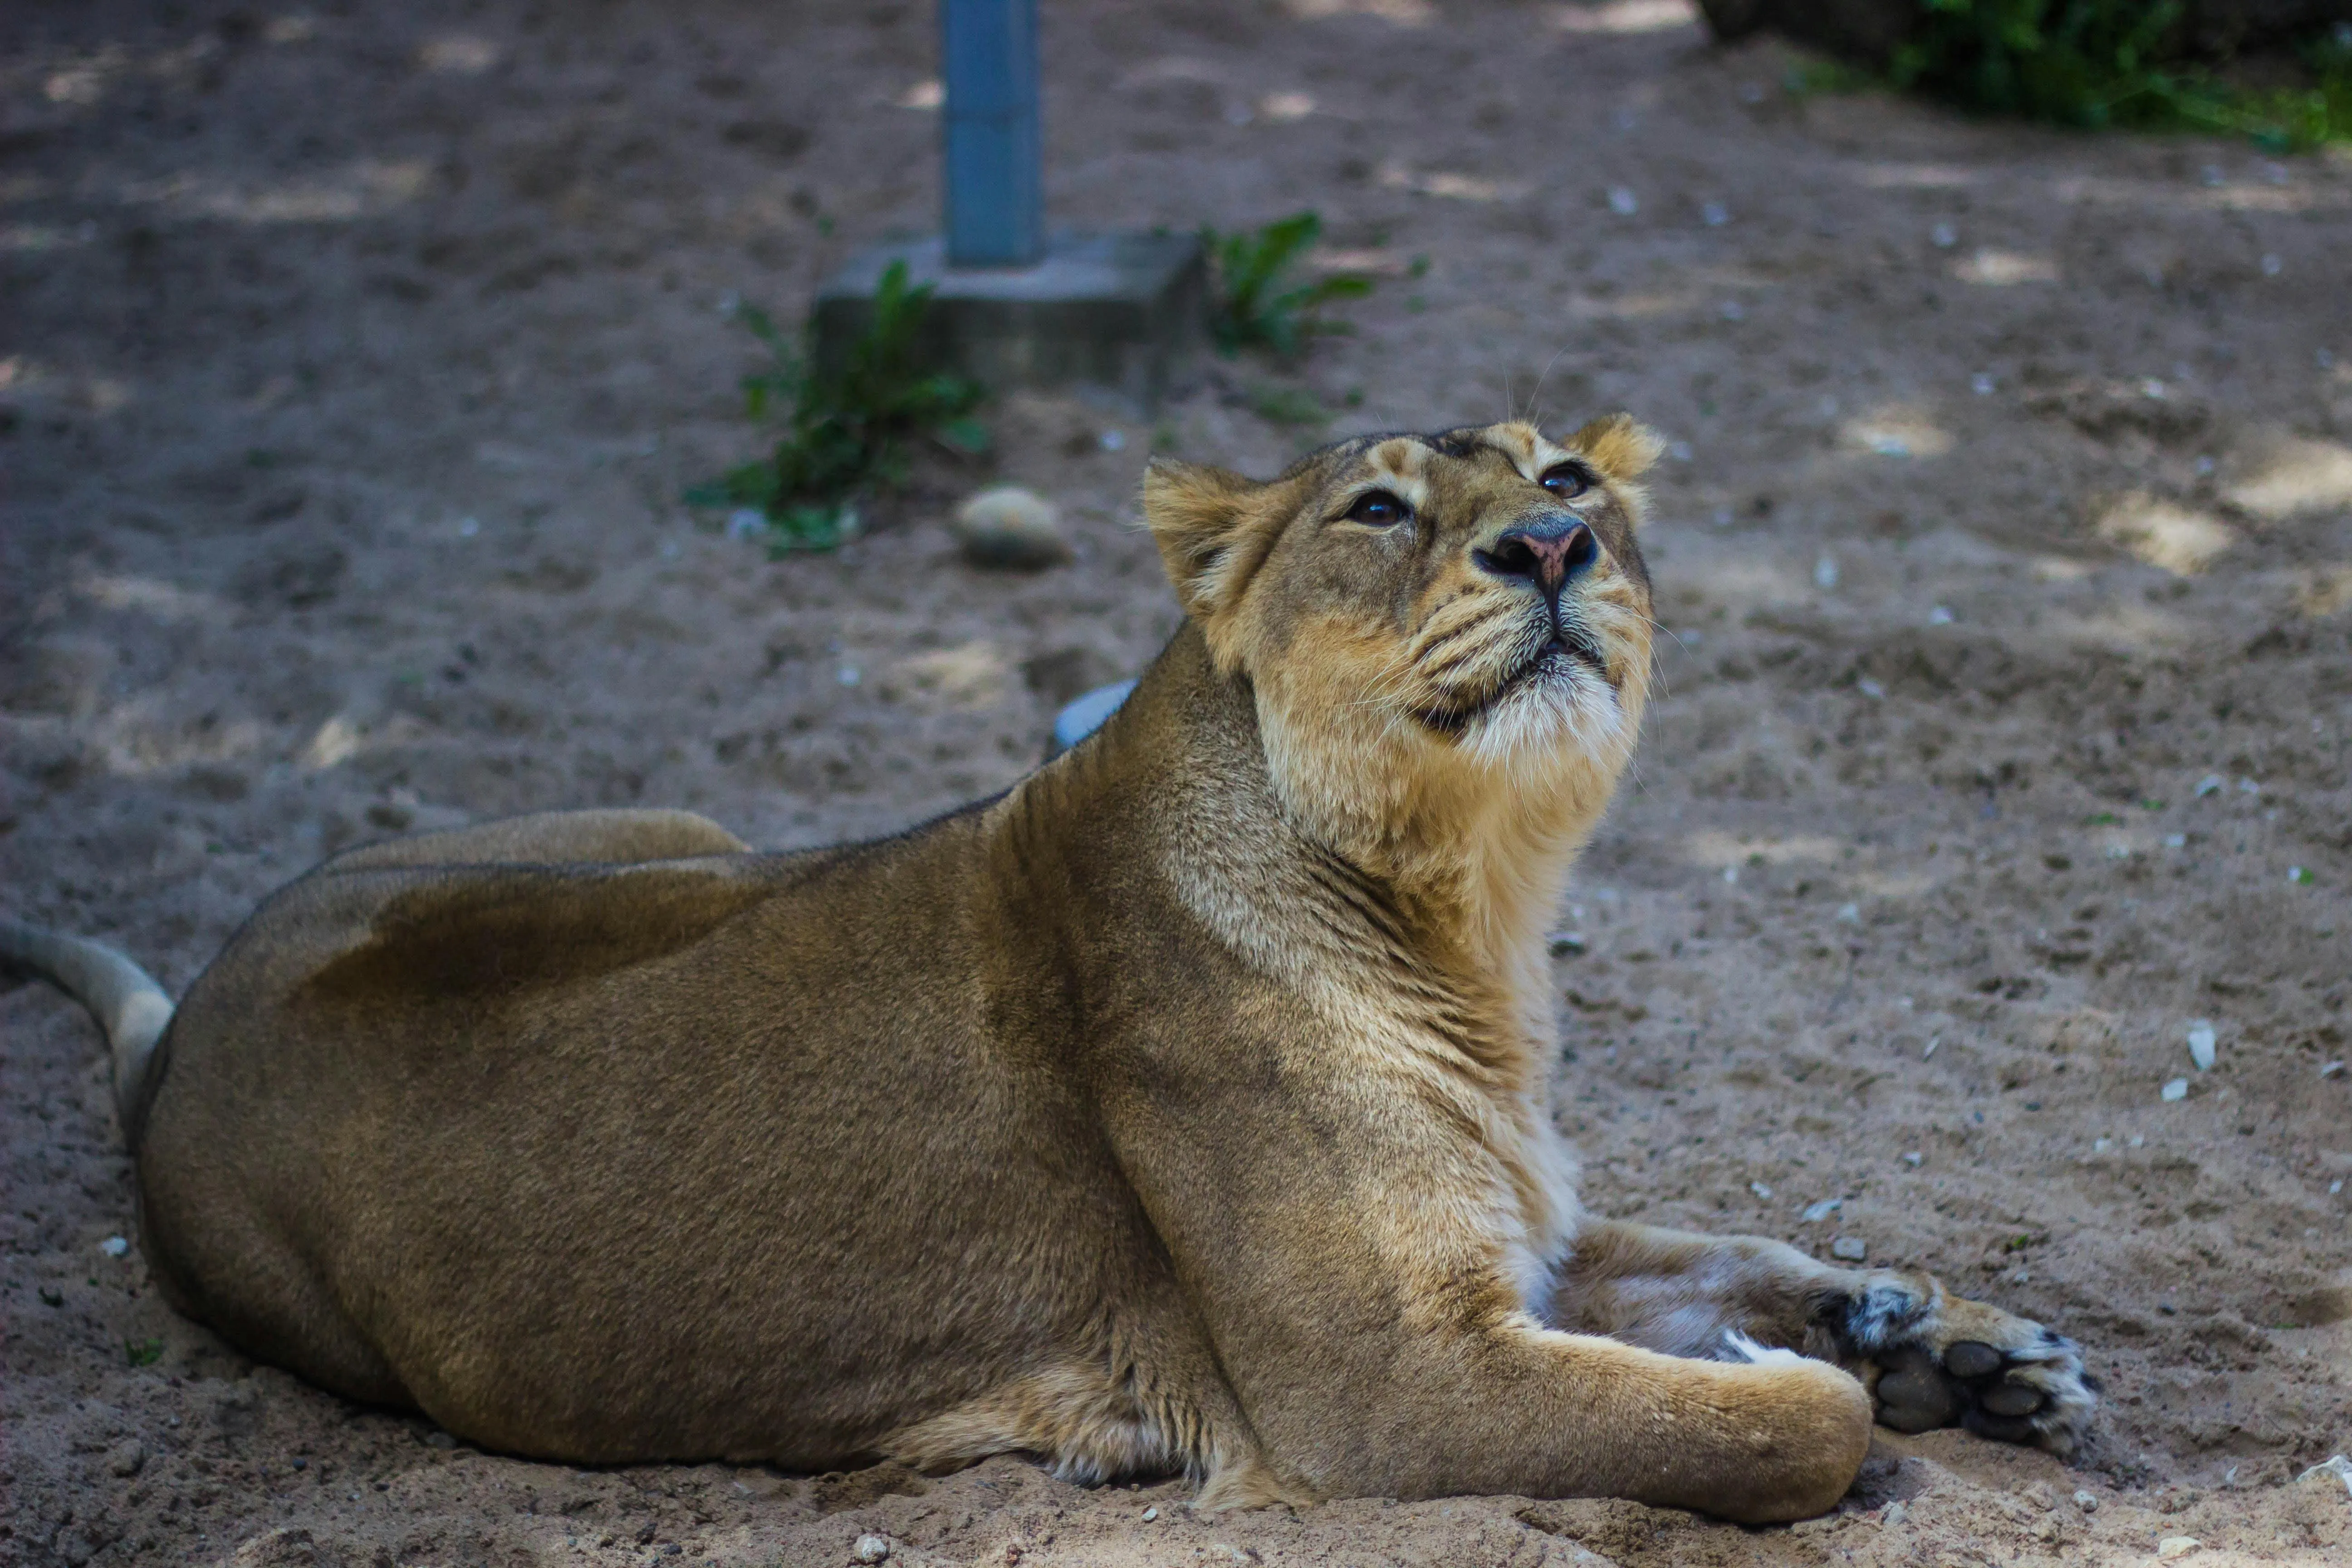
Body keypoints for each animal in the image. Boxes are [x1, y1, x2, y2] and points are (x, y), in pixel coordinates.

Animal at [1, 417, 2093, 1523]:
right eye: (1379, 508)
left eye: (1572, 468)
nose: (1558, 539)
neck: (1470, 919)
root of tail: (180, 1041)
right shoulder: (1387, 1388)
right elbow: (1774, 1426)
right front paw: (1836, 1380)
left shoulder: (1520, 1246)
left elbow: (1722, 1246)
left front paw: (1959, 1347)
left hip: (679, 825)